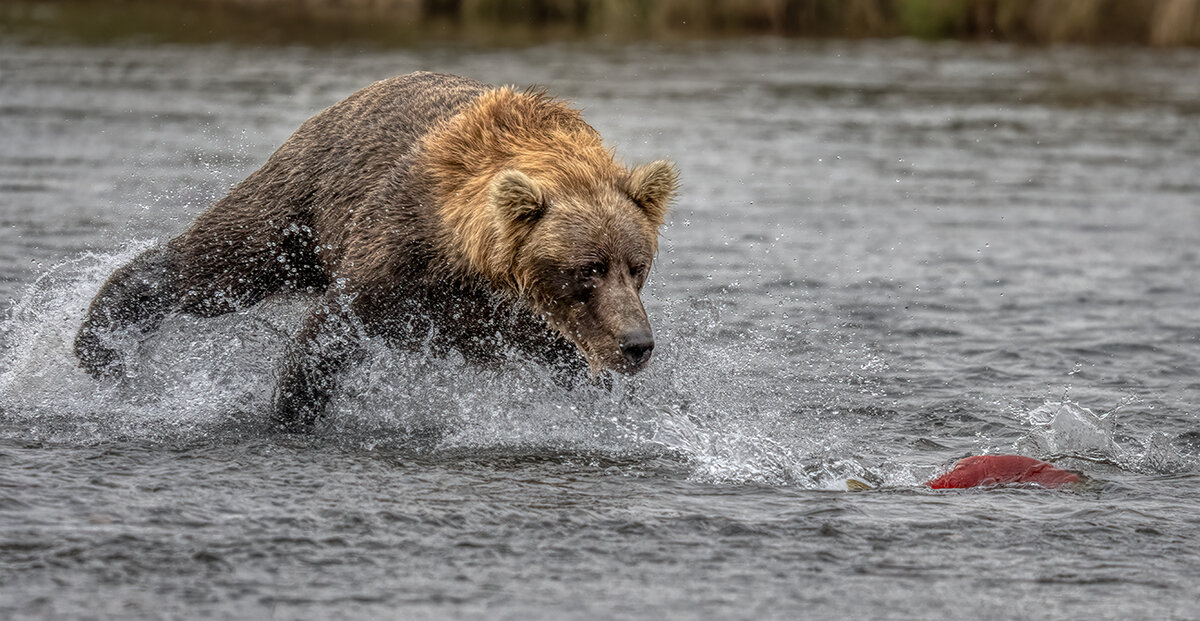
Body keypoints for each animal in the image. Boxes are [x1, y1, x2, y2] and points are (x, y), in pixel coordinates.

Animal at [73, 71, 678, 430]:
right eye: (588, 268)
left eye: (637, 266)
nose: (636, 344)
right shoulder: (401, 251)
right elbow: (329, 336)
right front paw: (292, 411)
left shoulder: (533, 328)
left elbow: (578, 376)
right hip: (304, 202)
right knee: (215, 269)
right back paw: (100, 342)